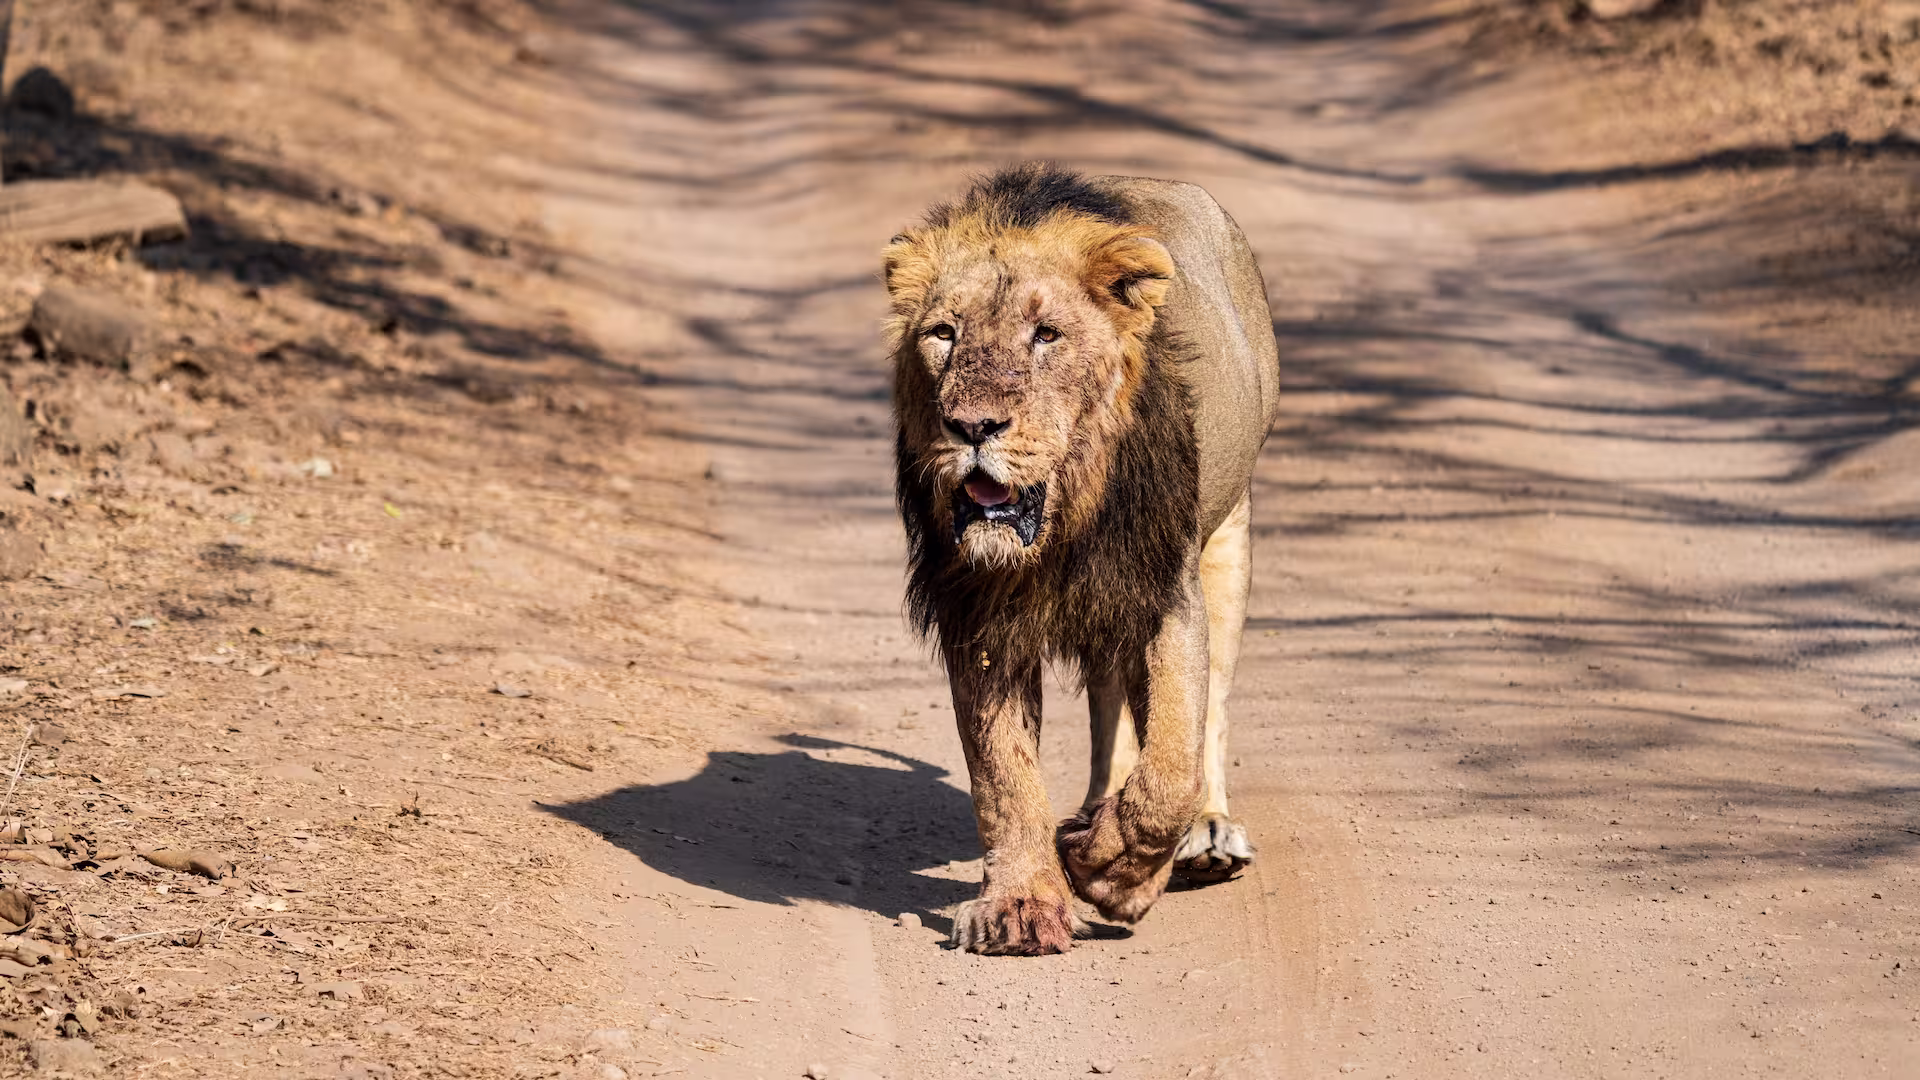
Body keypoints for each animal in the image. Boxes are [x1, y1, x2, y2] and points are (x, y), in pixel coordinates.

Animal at [885, 164, 1279, 955]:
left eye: (1047, 335)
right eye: (944, 333)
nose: (972, 426)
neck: (1064, 521)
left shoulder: (1166, 588)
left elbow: (1171, 767)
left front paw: (1116, 875)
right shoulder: (978, 612)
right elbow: (1003, 775)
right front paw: (1020, 904)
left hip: (1229, 536)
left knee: (1212, 702)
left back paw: (1207, 834)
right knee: (1108, 705)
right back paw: (1097, 810)